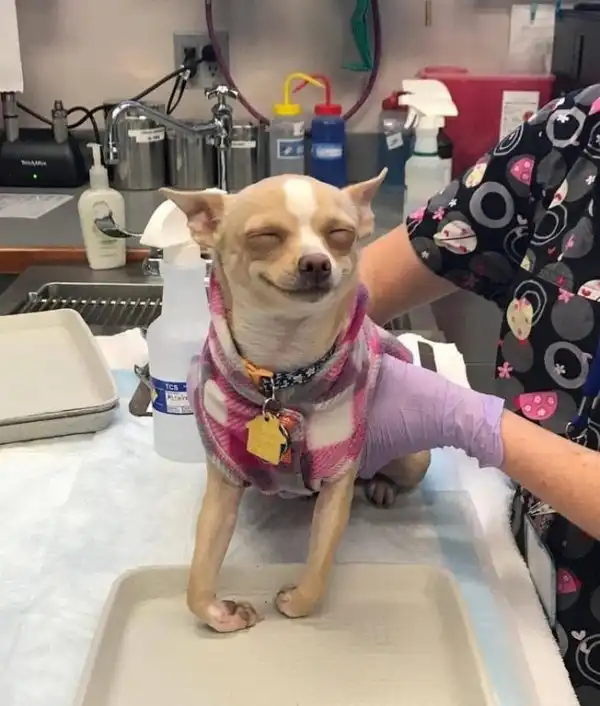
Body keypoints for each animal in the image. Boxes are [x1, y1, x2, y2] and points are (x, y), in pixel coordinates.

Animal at [162, 169, 431, 634]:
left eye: (341, 235)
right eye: (265, 236)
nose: (317, 262)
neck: (282, 374)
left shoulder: (338, 479)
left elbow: (319, 566)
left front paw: (294, 600)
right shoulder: (223, 480)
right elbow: (198, 576)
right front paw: (220, 614)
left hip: (413, 459)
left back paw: (381, 484)